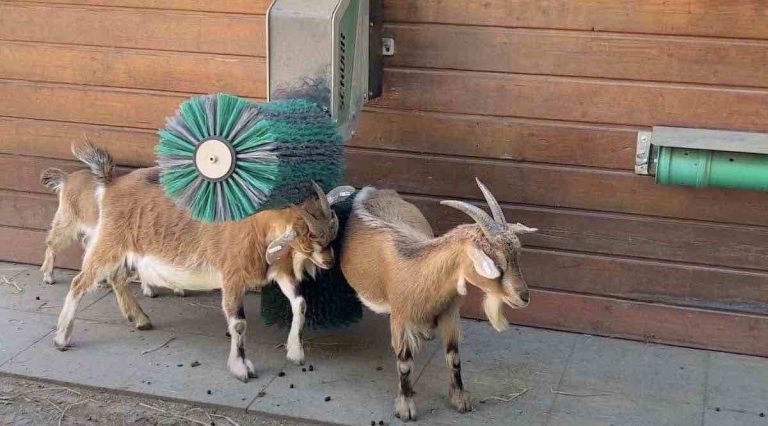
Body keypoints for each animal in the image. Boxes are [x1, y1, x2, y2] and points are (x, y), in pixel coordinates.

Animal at [340, 179, 536, 421]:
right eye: (496, 263)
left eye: (517, 254)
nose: (524, 297)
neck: (422, 271)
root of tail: (373, 191)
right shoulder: (400, 317)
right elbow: (404, 363)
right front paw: (405, 407)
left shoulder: (450, 315)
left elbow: (454, 357)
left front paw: (460, 399)